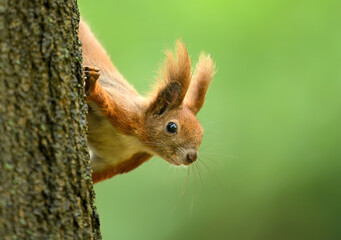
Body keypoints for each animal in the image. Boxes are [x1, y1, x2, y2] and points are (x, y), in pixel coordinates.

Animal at [78, 20, 214, 184]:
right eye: (171, 127)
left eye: (202, 132)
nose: (192, 157)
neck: (138, 142)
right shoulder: (124, 112)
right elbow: (105, 99)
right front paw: (92, 85)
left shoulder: (117, 161)